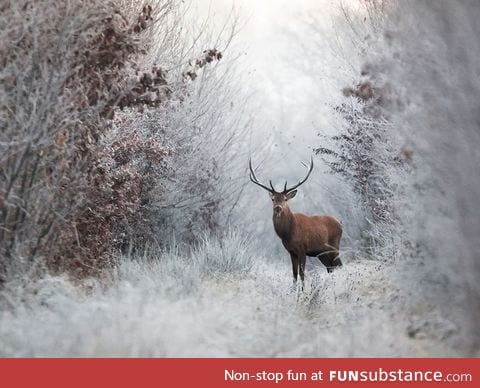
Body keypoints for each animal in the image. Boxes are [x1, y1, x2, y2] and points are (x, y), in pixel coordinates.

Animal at [249, 156, 344, 290]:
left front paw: (303, 292)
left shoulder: (302, 249)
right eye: (273, 199)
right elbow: (294, 273)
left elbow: (301, 273)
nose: (278, 208)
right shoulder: (291, 251)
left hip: (334, 246)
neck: (289, 233)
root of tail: (340, 224)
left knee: (339, 265)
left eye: (285, 199)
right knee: (331, 268)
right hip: (322, 253)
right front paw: (293, 291)